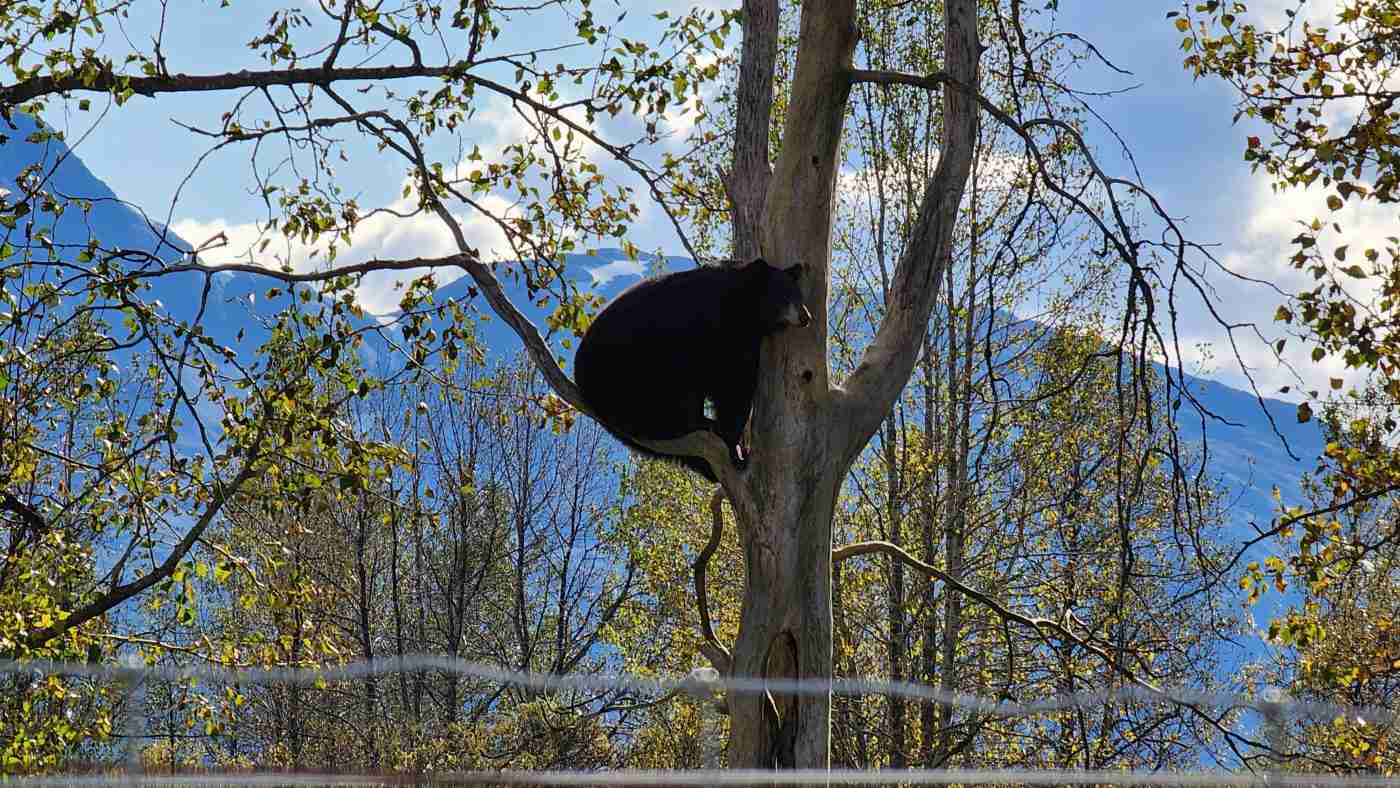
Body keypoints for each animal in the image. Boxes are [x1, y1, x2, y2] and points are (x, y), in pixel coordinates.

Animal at [573, 257, 813, 482]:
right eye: (784, 294)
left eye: (800, 294)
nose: (806, 317)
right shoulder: (719, 332)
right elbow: (732, 386)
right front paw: (734, 445)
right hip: (632, 369)